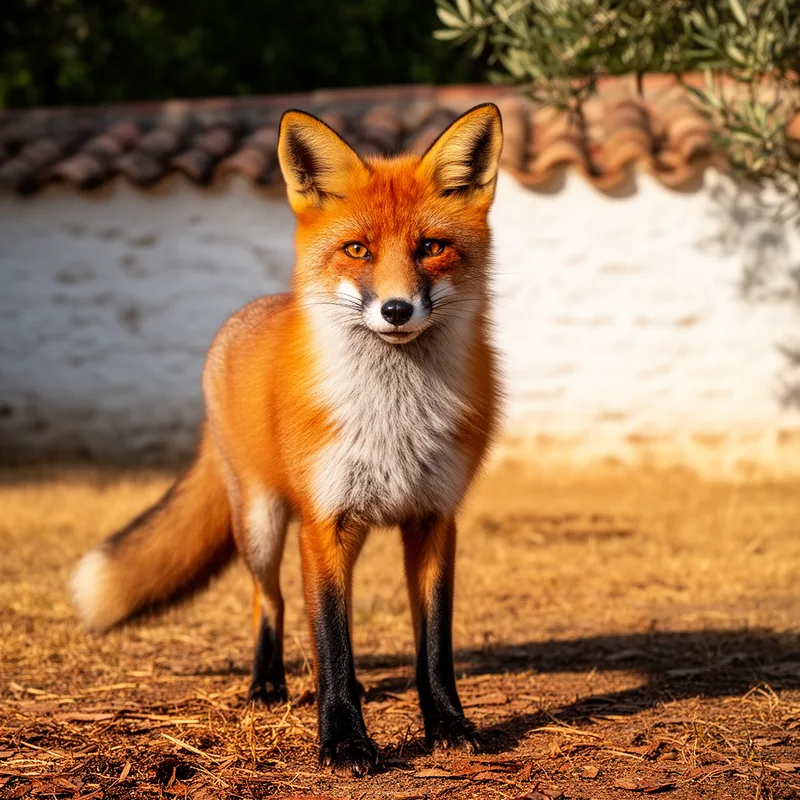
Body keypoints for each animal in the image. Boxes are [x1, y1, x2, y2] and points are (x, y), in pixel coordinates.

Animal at [71, 103, 503, 776]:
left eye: (432, 248)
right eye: (357, 249)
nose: (397, 310)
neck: (394, 419)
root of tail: (246, 314)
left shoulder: (434, 518)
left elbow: (434, 645)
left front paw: (447, 726)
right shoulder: (323, 524)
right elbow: (330, 639)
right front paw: (344, 741)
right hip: (263, 522)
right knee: (267, 601)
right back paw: (267, 685)